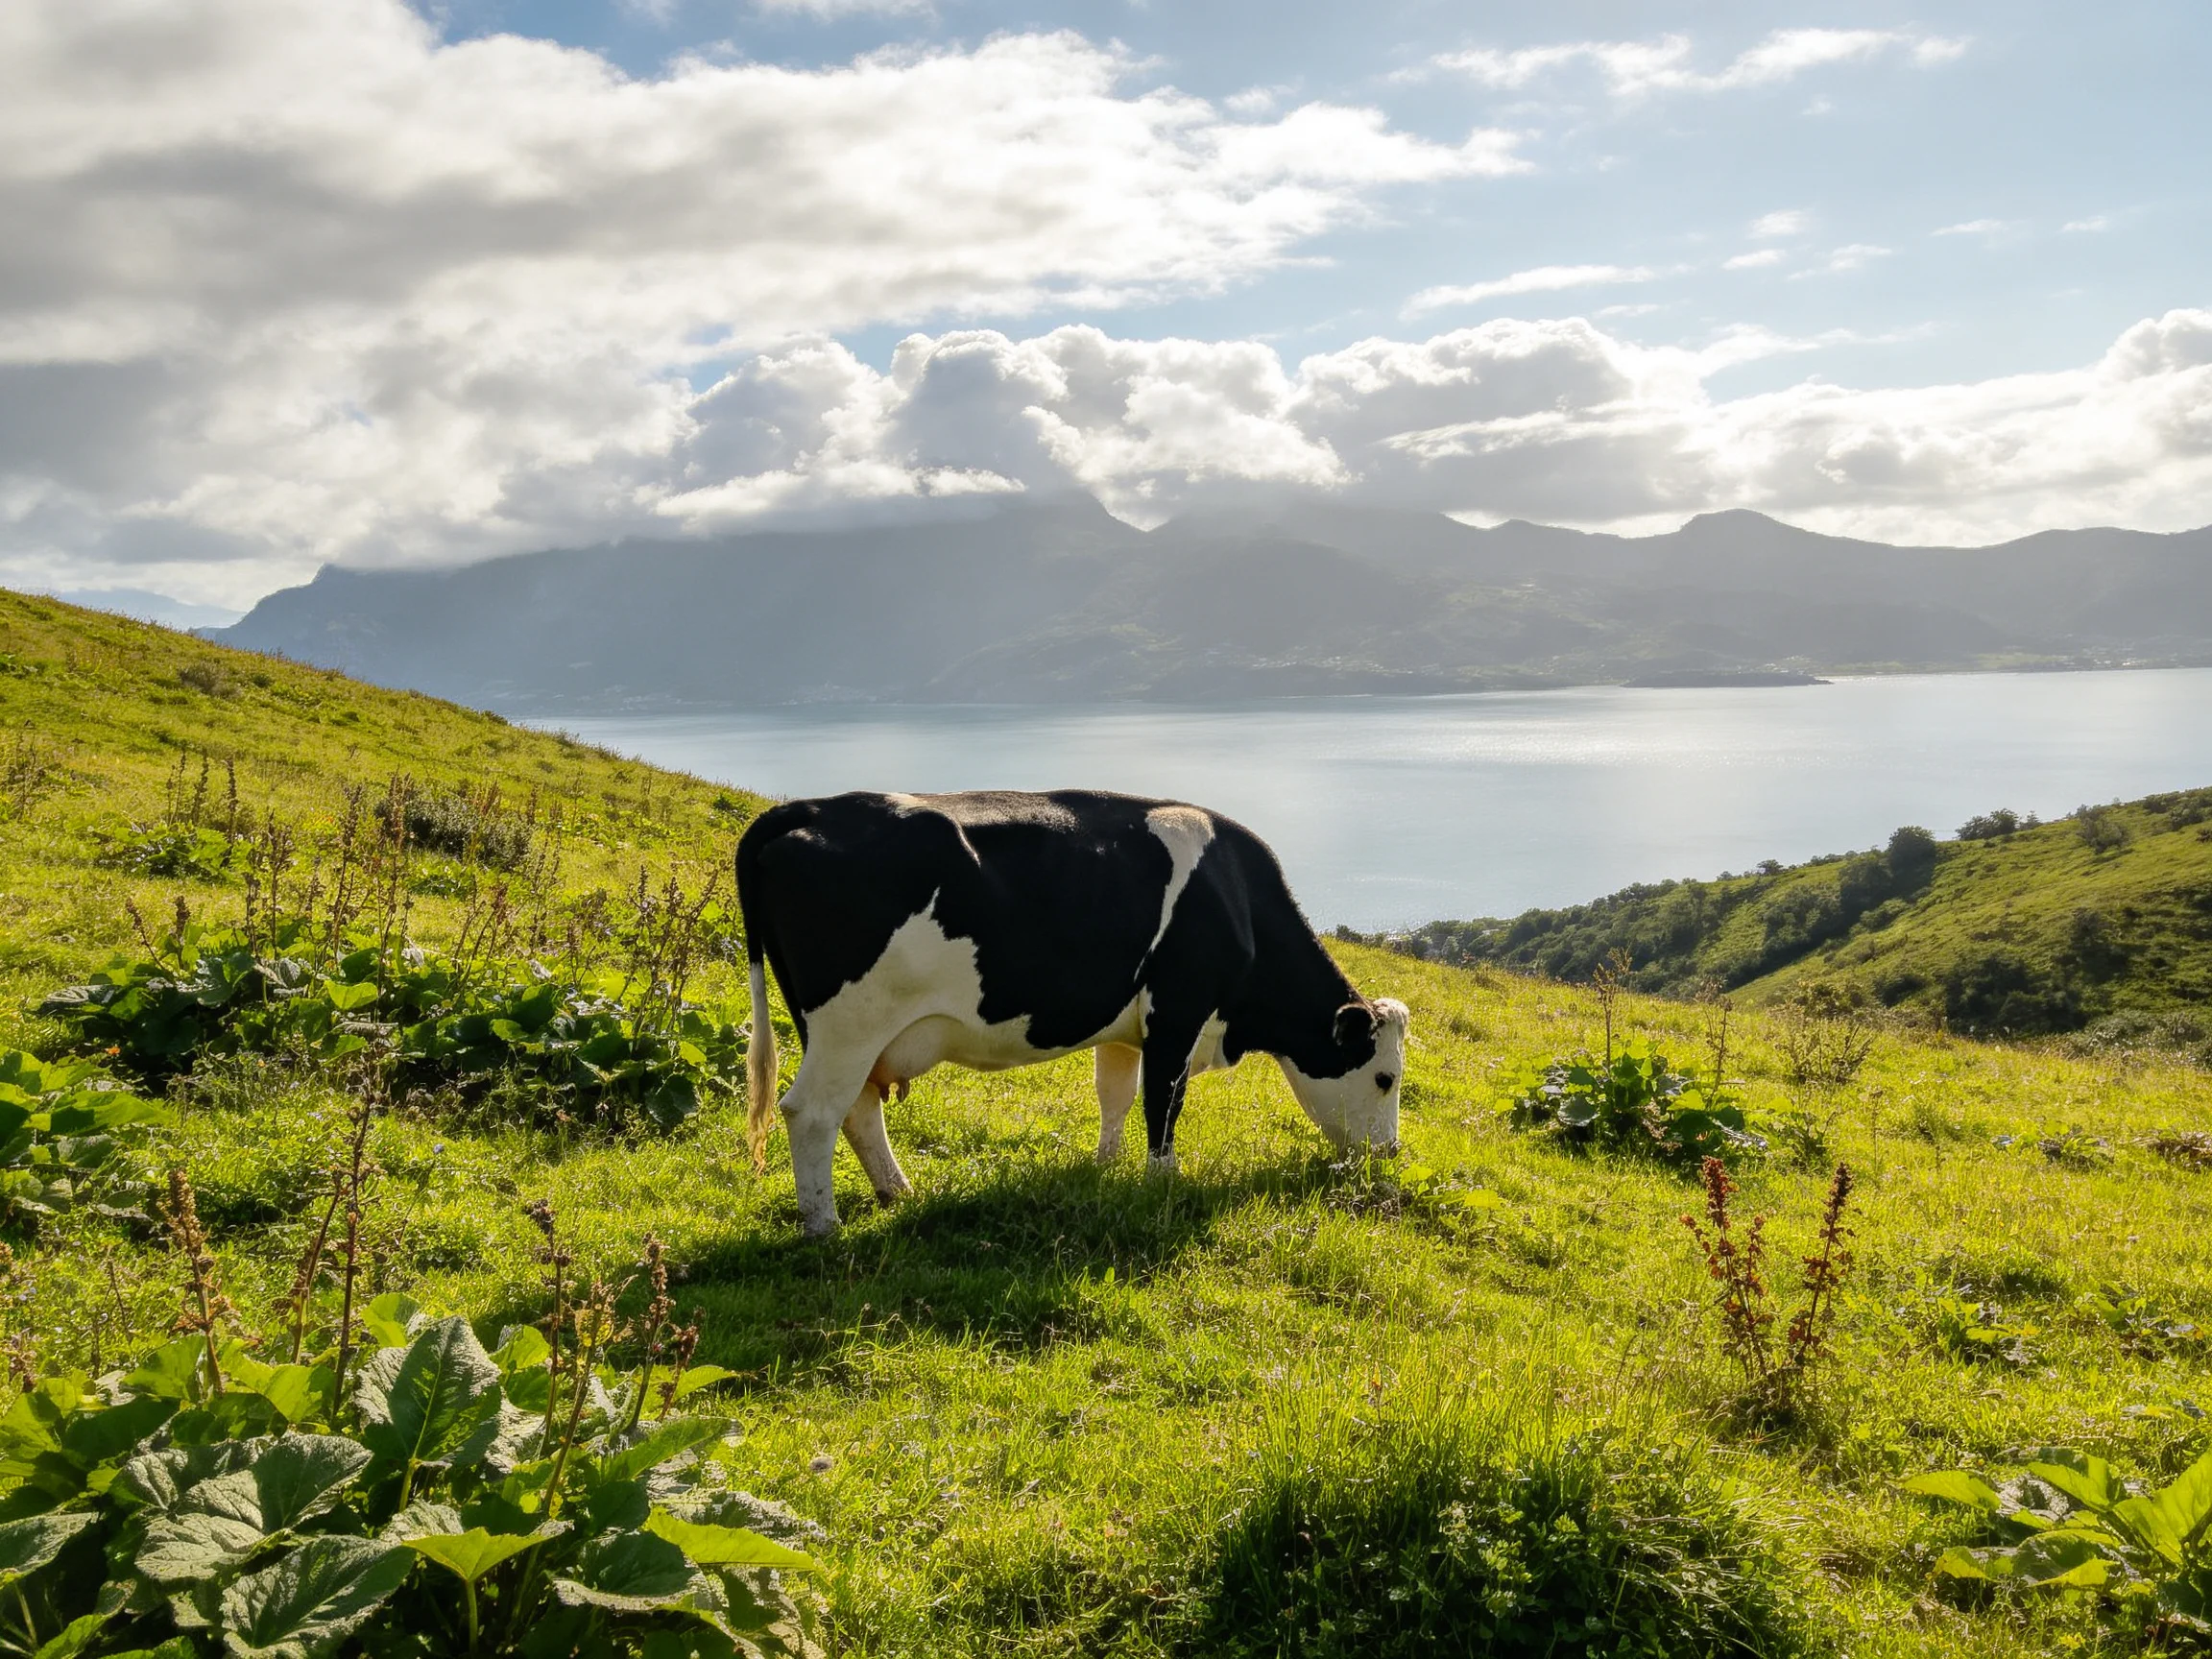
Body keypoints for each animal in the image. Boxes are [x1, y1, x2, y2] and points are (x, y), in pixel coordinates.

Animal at [735, 789, 1409, 1236]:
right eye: (1385, 1077)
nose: (1390, 1154)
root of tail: (809, 808)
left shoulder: (1127, 1026)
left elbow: (1117, 1096)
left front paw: (1105, 1168)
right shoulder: (1178, 1013)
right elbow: (1163, 1103)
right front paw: (1162, 1184)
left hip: (843, 1033)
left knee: (857, 1108)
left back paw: (896, 1192)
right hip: (850, 1023)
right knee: (812, 1112)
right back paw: (824, 1227)